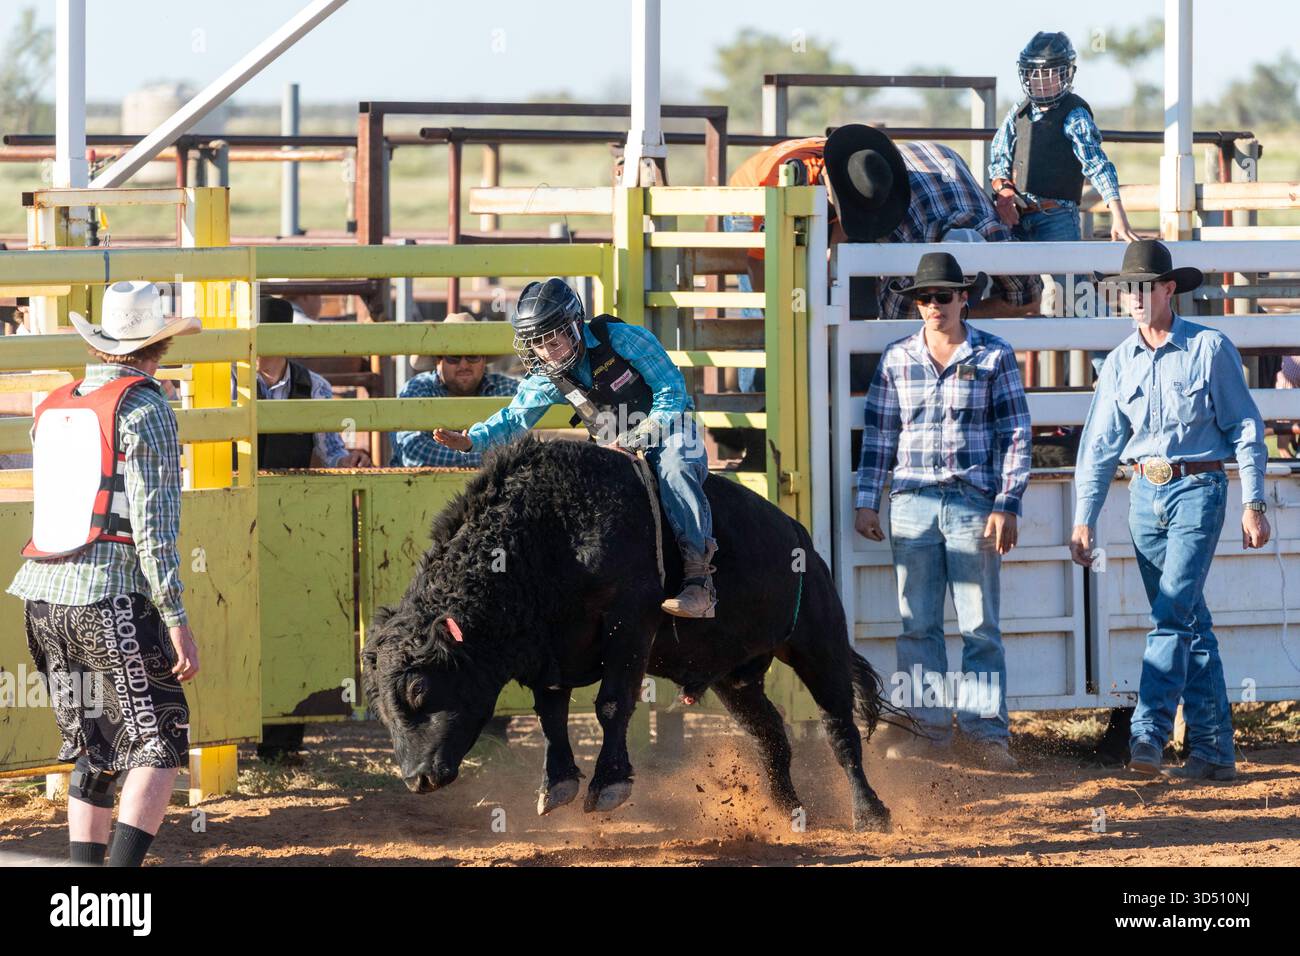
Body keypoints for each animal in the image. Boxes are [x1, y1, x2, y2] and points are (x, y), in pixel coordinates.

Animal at [362, 436, 901, 831]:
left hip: (817, 642)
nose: (417, 779)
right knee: (771, 737)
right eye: (382, 709)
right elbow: (551, 714)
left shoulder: (630, 624)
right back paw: (790, 813)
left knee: (839, 729)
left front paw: (609, 785)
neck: (550, 526)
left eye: (420, 690)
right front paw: (557, 784)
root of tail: (800, 536)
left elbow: (612, 704)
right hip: (736, 680)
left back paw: (871, 813)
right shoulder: (549, 650)